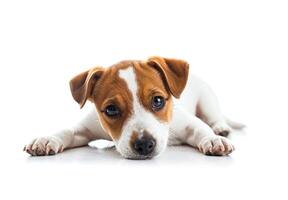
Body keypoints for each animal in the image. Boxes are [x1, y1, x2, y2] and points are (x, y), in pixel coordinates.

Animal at [24, 56, 243, 159]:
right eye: (111, 109)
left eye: (158, 101)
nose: (144, 145)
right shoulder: (85, 129)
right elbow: (67, 131)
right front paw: (47, 139)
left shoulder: (189, 124)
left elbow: (201, 129)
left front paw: (214, 140)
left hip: (207, 100)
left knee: (214, 117)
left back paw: (220, 128)